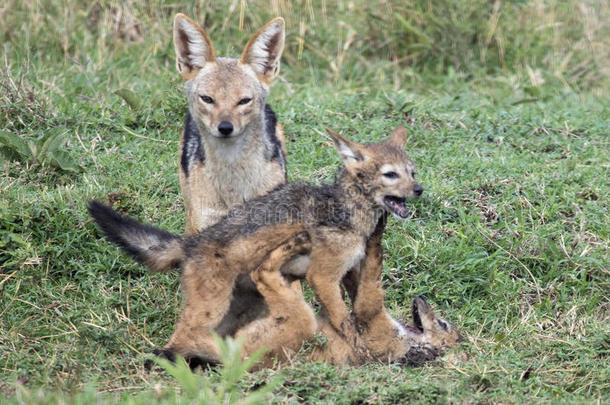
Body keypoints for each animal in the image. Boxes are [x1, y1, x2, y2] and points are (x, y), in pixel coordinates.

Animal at [88, 124, 422, 364]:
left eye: (412, 172)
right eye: (390, 174)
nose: (419, 189)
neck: (348, 212)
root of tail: (191, 242)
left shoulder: (351, 272)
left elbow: (363, 303)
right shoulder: (322, 277)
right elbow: (346, 321)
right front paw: (360, 348)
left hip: (242, 311)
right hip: (211, 308)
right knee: (183, 336)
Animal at [233, 216, 460, 368]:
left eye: (442, 324)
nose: (421, 297)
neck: (410, 343)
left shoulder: (372, 318)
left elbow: (372, 277)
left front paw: (377, 229)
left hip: (300, 319)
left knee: (262, 273)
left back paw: (297, 242)